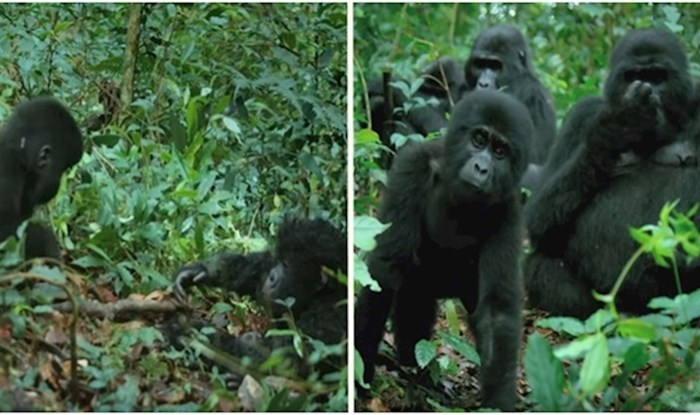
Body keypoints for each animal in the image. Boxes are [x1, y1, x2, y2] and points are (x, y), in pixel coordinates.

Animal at [356, 89, 532, 412]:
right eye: (479, 139)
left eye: (500, 151)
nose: (481, 168)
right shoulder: (413, 166)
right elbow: (385, 270)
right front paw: (360, 374)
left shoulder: (510, 210)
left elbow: (497, 311)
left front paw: (499, 401)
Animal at [524, 29, 700, 320]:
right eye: (632, 75)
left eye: (657, 76)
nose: (648, 89)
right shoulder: (582, 114)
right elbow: (539, 218)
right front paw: (616, 128)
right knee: (540, 265)